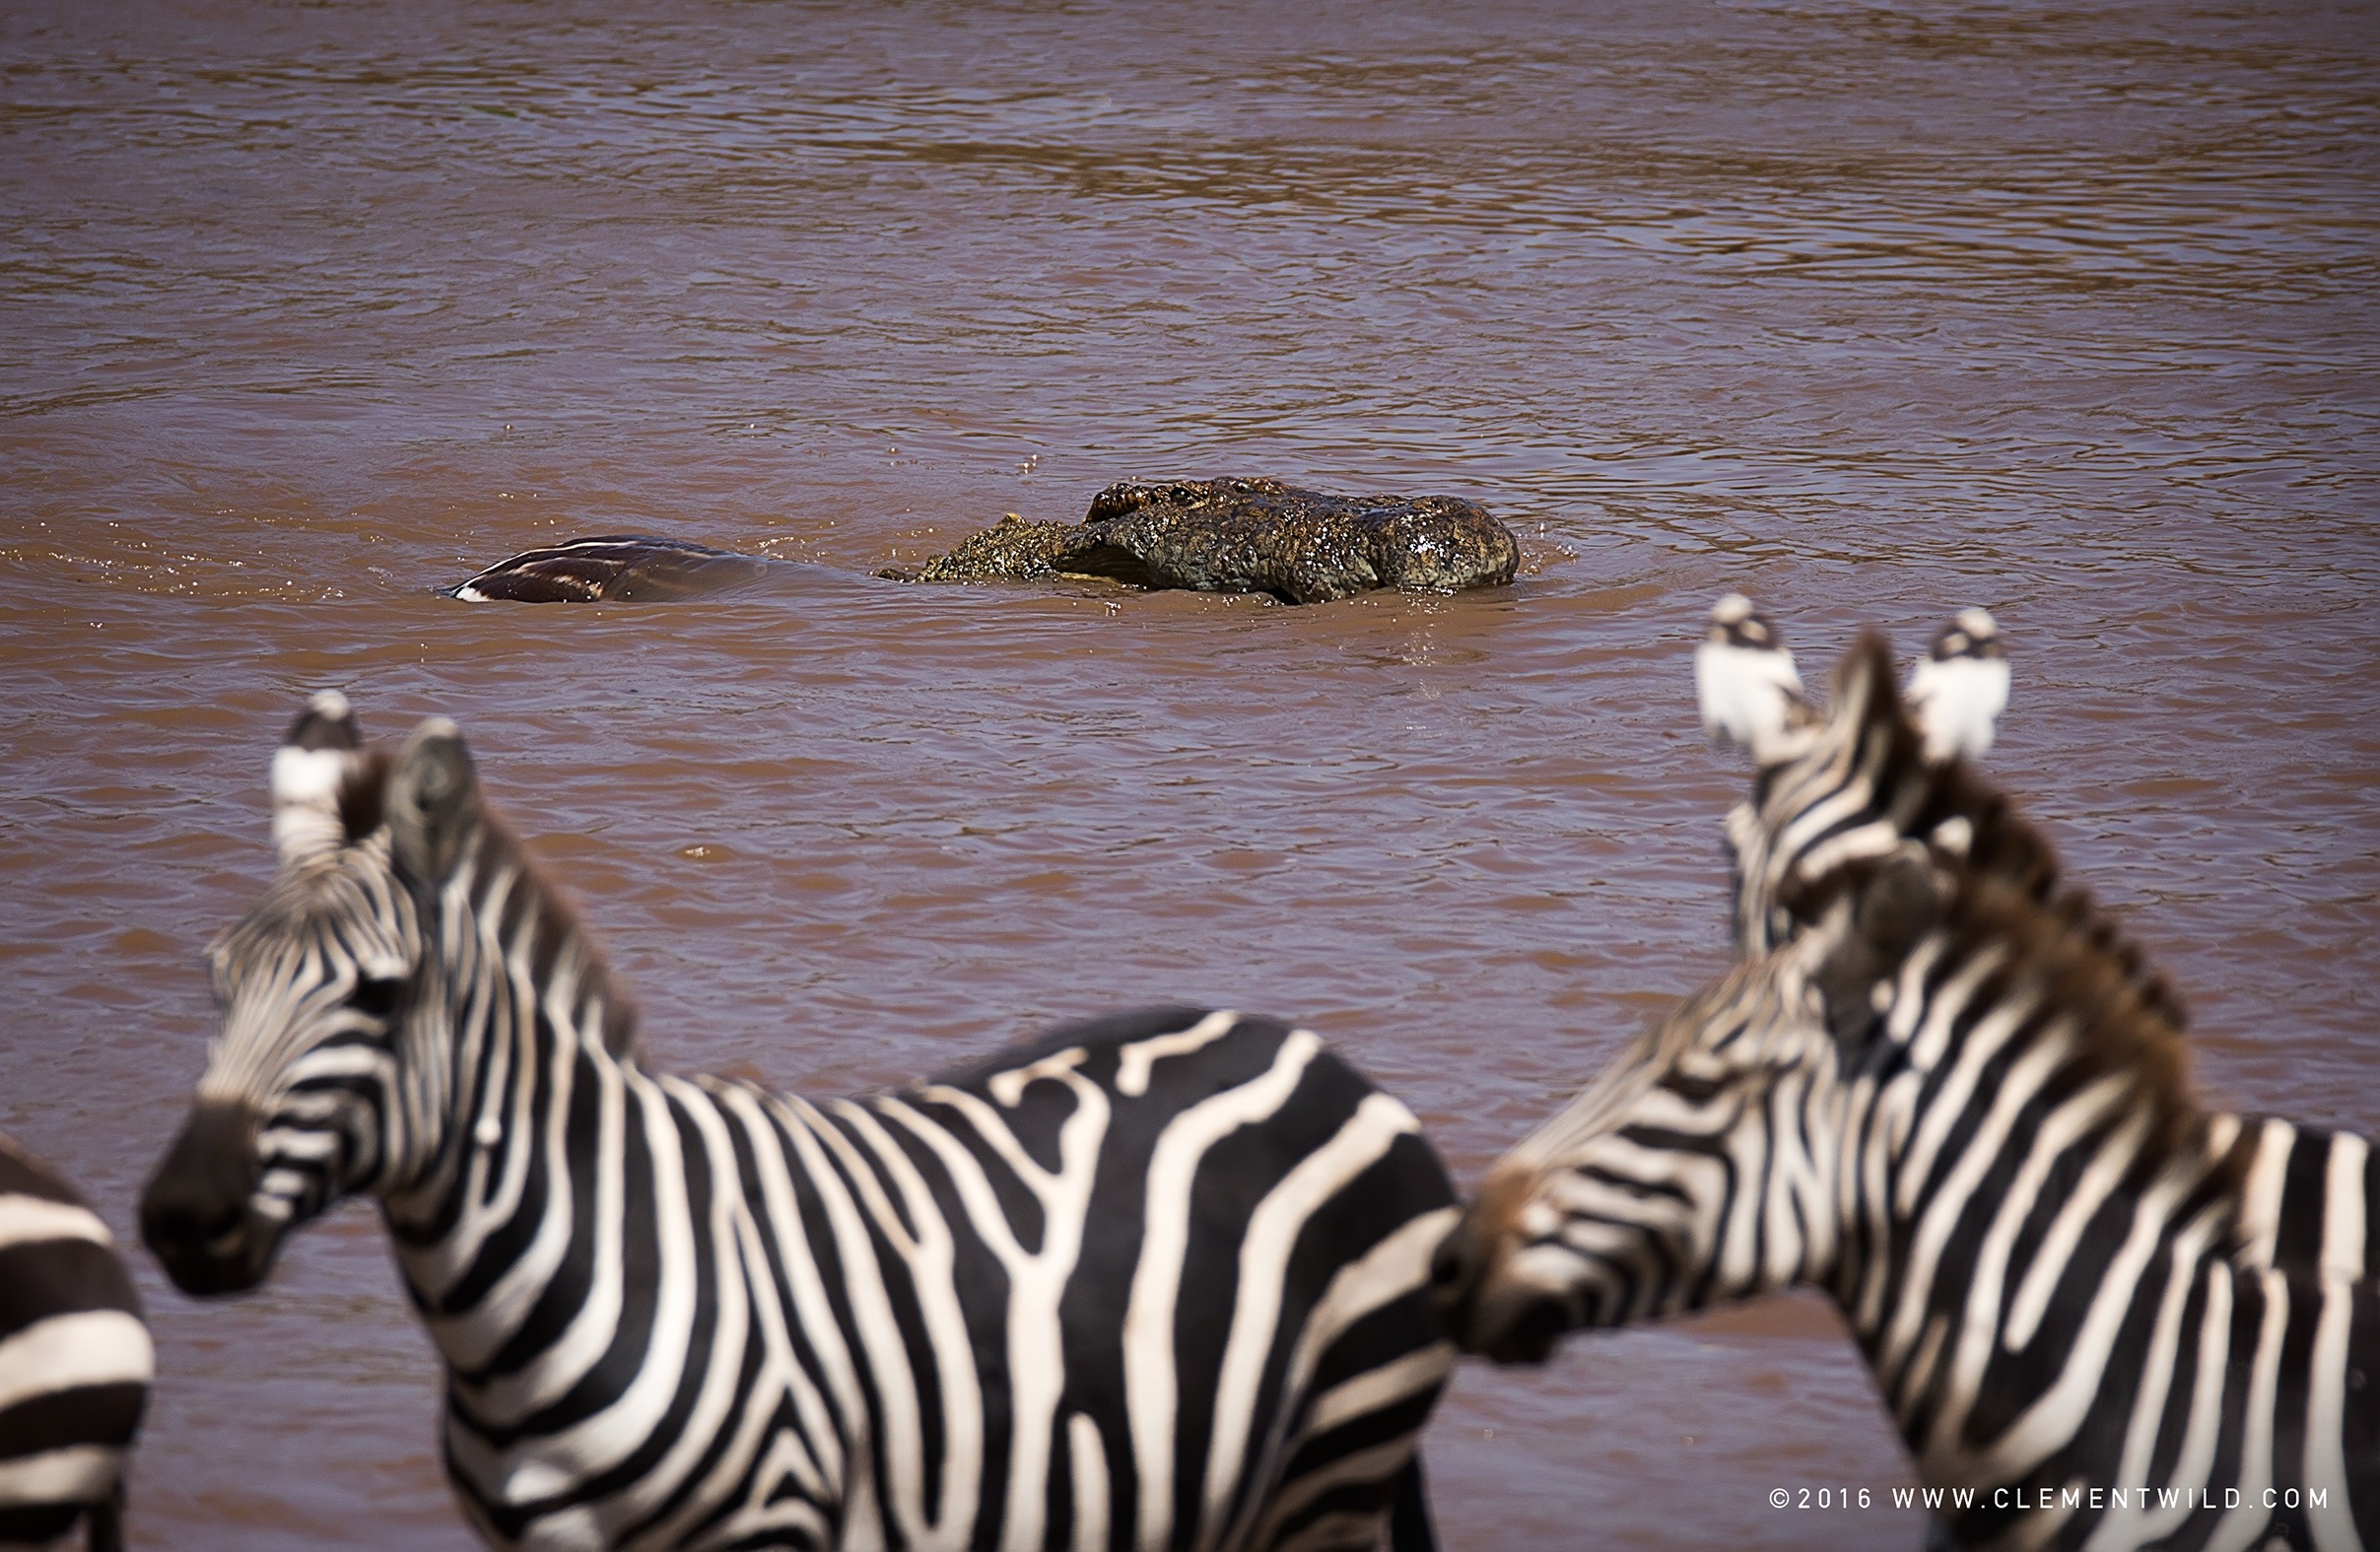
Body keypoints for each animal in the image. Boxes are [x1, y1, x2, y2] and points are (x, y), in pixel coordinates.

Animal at [148, 700, 1456, 1552]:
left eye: (379, 995)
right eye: (215, 981)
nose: (177, 1217)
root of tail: (1305, 1047)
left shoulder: (772, 1520)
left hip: (1333, 1462)